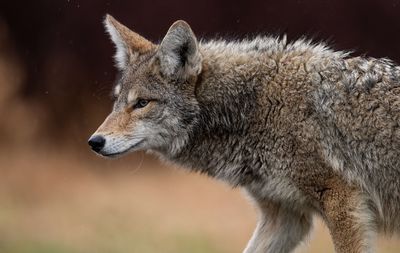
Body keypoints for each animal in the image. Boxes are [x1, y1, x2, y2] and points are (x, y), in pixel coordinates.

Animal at [89, 14, 400, 252]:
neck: (255, 107)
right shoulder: (284, 218)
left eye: (142, 103)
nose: (94, 142)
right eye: (117, 101)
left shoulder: (342, 202)